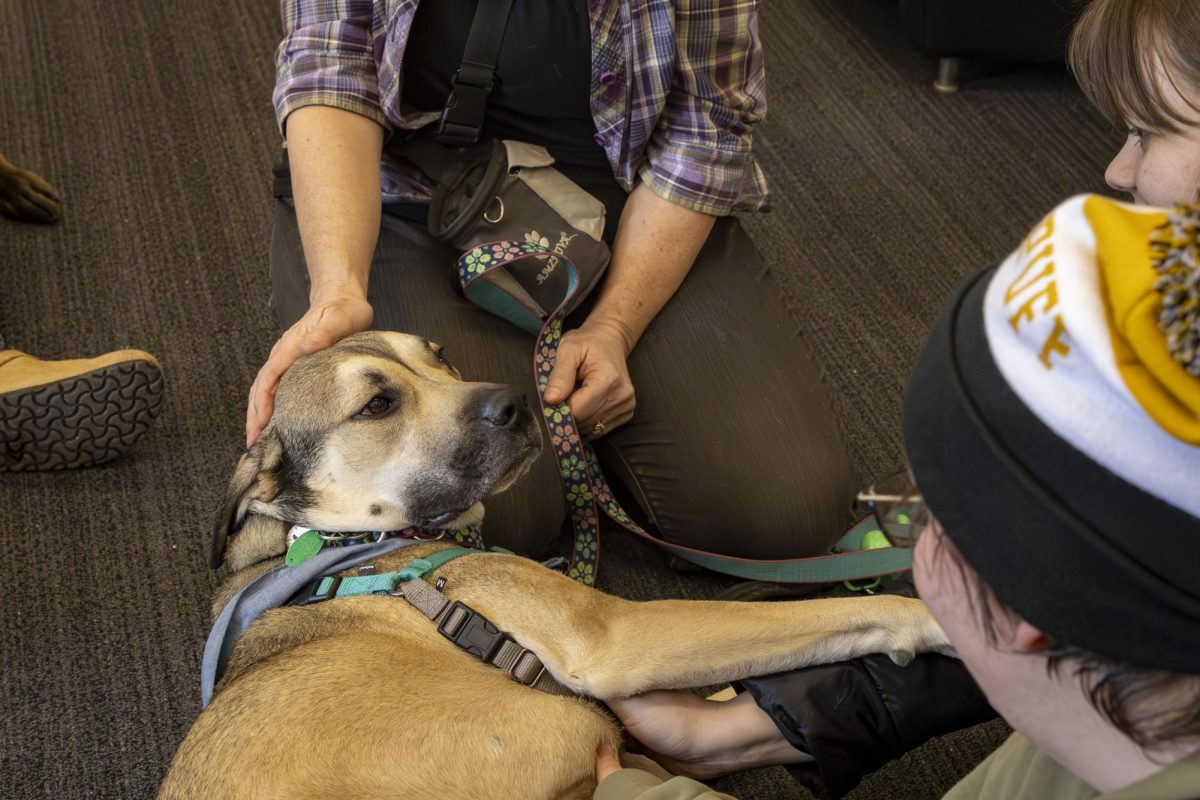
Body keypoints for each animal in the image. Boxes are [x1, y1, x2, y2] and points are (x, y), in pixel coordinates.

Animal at [159, 331, 945, 800]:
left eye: (438, 354)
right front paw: (935, 615)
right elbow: (841, 610)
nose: (517, 402)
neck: (348, 541)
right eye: (378, 403)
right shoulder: (616, 638)